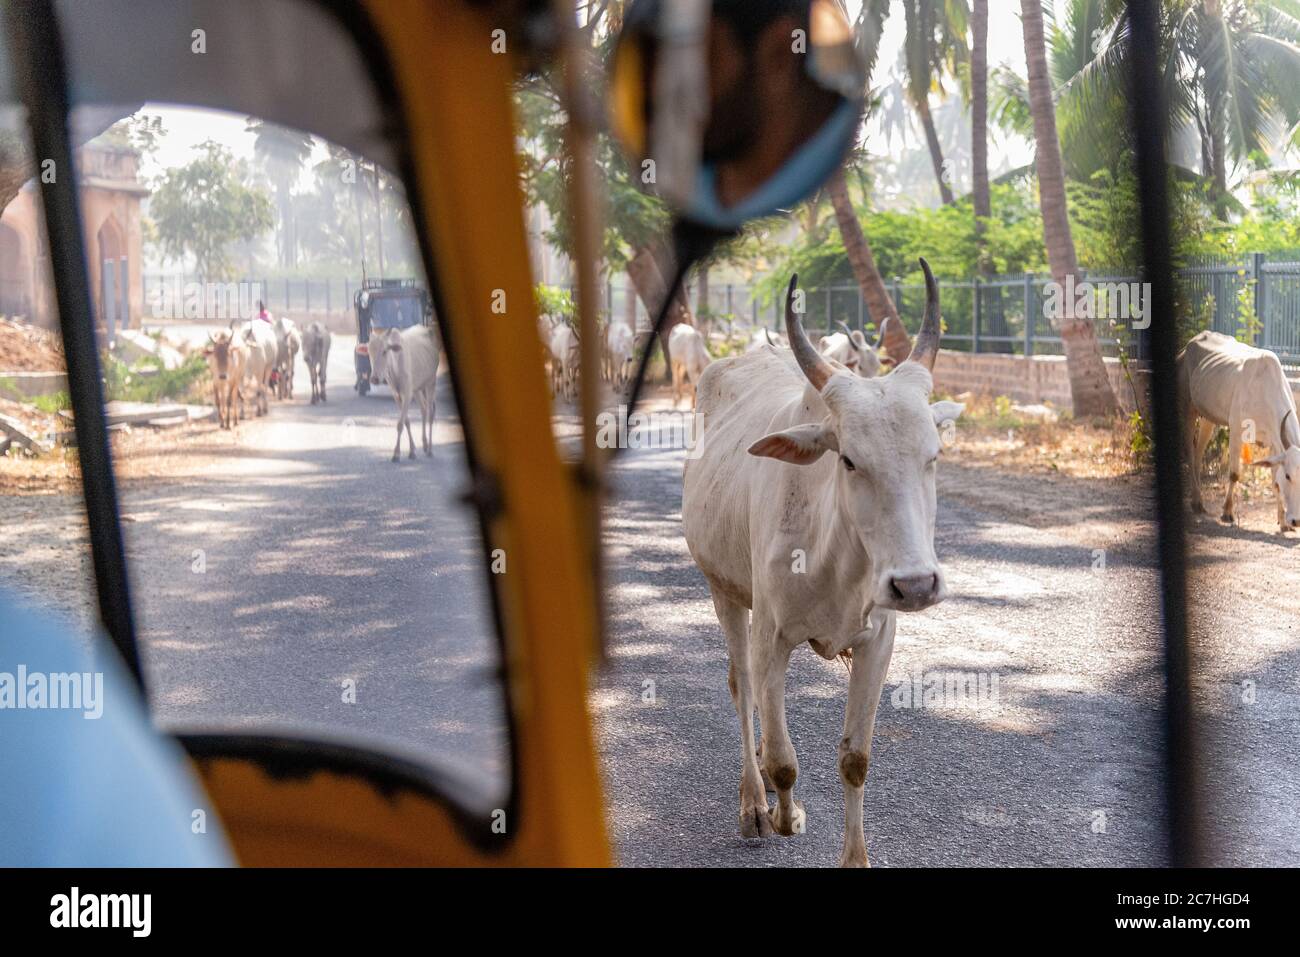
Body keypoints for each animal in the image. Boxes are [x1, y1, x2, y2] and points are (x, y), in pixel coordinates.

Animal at [1180, 330, 1300, 535]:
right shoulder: (1236, 431)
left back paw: (1199, 502)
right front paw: (1227, 513)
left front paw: (1282, 522)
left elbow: (1274, 483)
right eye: (1288, 476)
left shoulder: (1274, 445)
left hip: (1207, 418)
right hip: (1188, 408)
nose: (1296, 521)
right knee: (1189, 451)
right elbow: (1235, 474)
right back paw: (1196, 501)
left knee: (1197, 454)